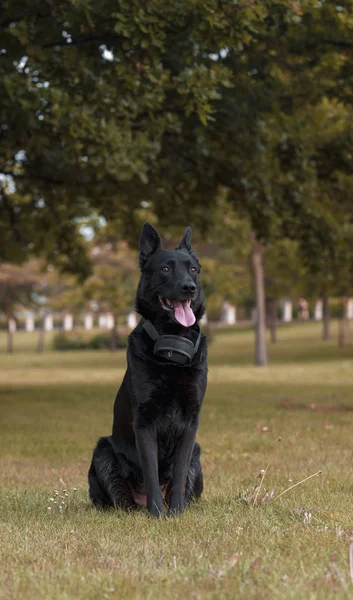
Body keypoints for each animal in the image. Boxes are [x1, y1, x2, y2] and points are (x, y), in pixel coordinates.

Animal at [87, 224, 206, 516]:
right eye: (165, 269)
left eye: (193, 269)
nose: (189, 287)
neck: (172, 351)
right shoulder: (144, 422)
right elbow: (151, 470)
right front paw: (158, 514)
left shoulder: (191, 424)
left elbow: (179, 472)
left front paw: (175, 513)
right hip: (102, 451)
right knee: (122, 502)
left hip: (198, 452)